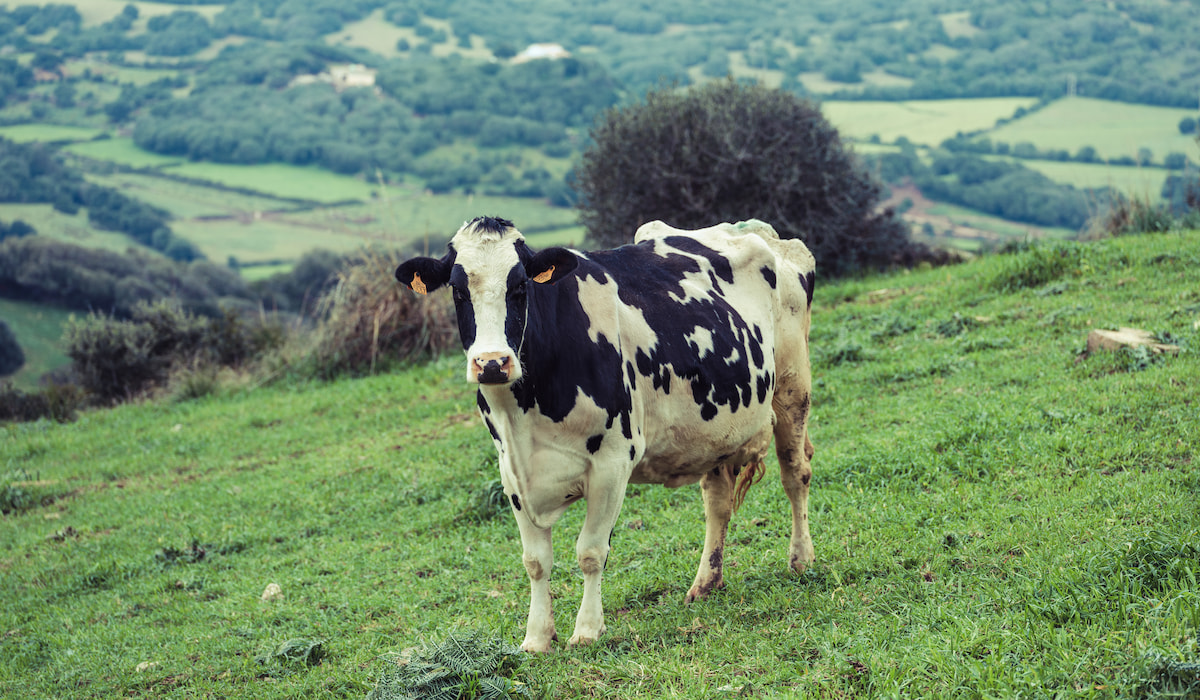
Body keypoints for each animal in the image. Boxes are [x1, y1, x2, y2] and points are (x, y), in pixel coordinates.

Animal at [395, 216, 815, 653]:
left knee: (795, 474)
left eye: (520, 287)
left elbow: (591, 551)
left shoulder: (612, 461)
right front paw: (537, 637)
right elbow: (535, 561)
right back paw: (705, 583)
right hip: (715, 430)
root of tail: (759, 231)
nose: (492, 363)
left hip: (793, 388)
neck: (523, 414)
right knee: (717, 502)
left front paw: (587, 630)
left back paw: (800, 559)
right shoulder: (511, 473)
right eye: (458, 290)